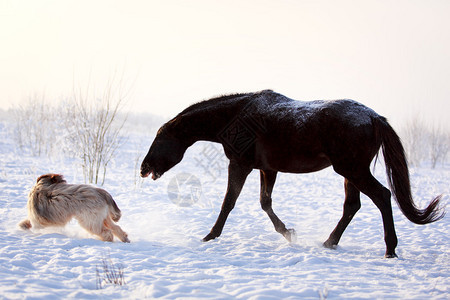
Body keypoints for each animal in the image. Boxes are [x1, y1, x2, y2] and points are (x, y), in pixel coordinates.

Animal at [141, 89, 442, 258]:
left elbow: (229, 202)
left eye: (160, 138)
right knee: (352, 205)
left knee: (381, 196)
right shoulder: (267, 168)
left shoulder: (240, 164)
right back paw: (329, 243)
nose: (144, 168)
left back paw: (390, 249)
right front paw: (288, 232)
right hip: (350, 172)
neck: (236, 116)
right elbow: (265, 203)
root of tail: (373, 117)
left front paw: (210, 236)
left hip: (353, 170)